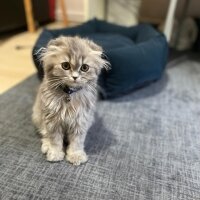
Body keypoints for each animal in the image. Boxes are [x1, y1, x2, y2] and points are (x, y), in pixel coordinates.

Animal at [32, 36, 108, 166]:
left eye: (84, 67)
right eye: (65, 66)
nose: (75, 77)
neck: (69, 94)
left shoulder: (80, 121)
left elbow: (77, 142)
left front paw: (75, 156)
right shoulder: (52, 121)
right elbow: (55, 140)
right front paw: (55, 154)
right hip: (38, 115)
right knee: (44, 133)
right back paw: (46, 145)